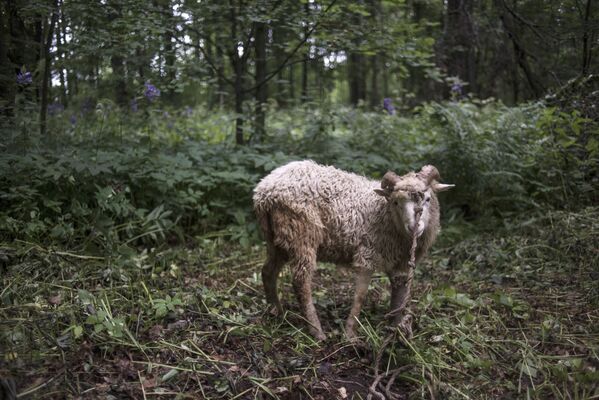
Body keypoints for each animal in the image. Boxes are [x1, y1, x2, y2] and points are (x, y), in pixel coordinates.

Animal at [253, 160, 454, 340]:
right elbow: (360, 295)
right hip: (302, 234)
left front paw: (397, 331)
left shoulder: (401, 263)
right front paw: (350, 334)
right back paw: (316, 331)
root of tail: (265, 191)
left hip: (276, 240)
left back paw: (276, 312)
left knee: (268, 271)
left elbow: (400, 294)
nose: (414, 227)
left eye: (428, 199)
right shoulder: (367, 254)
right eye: (396, 202)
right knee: (300, 280)